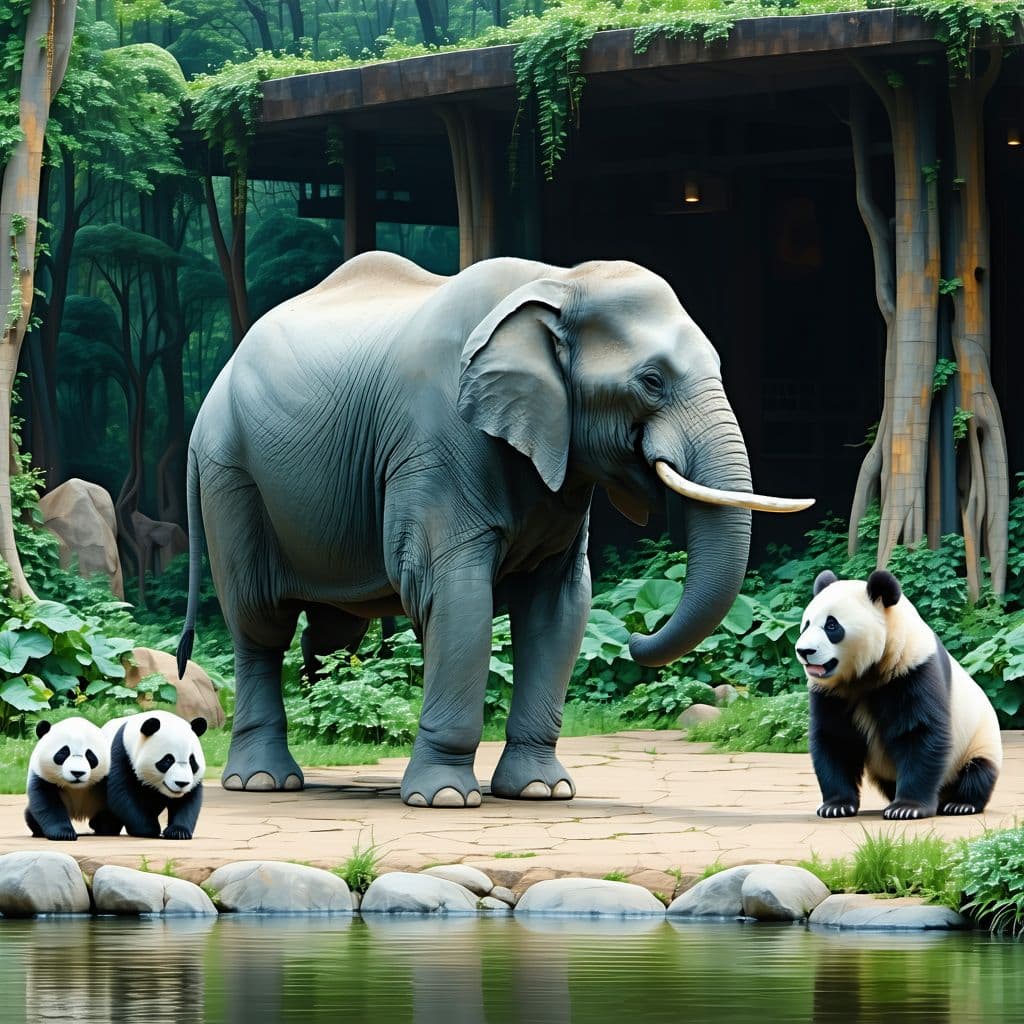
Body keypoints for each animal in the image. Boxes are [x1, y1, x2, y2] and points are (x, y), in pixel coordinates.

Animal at [103, 711, 207, 840]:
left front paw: (178, 832)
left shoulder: (192, 780)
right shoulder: (122, 754)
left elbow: (188, 800)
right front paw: (148, 829)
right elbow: (121, 794)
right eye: (168, 760)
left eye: (192, 761)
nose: (181, 783)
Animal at [176, 252, 811, 807]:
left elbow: (561, 606)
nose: (636, 640)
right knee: (259, 623)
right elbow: (457, 596)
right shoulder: (434, 441)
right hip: (230, 476)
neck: (561, 281)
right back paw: (263, 782)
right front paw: (444, 799)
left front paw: (541, 792)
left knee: (332, 630)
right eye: (652, 380)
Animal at [795, 569, 1002, 820]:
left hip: (979, 740)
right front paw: (836, 805)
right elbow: (835, 738)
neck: (864, 674)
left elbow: (920, 732)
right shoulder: (831, 691)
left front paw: (907, 808)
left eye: (832, 626)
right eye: (806, 625)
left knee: (978, 771)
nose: (804, 651)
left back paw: (961, 804)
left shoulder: (913, 668)